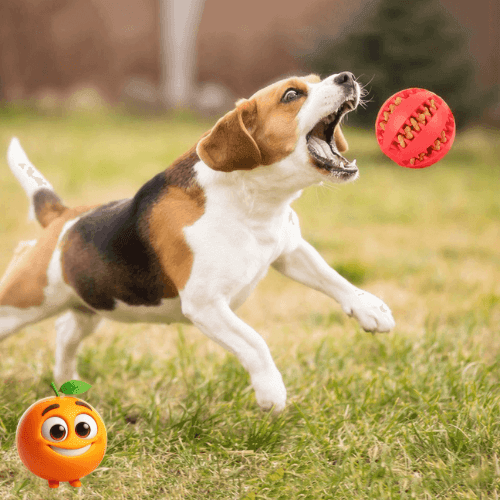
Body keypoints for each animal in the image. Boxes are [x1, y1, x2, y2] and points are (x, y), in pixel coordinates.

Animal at [1, 72, 396, 412]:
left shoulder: (289, 250)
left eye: (317, 80)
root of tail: (62, 217)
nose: (346, 77)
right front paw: (271, 391)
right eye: (291, 95)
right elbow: (255, 341)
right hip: (22, 303)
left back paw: (67, 383)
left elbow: (333, 278)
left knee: (65, 330)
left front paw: (370, 308)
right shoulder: (206, 305)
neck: (253, 202)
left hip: (93, 305)